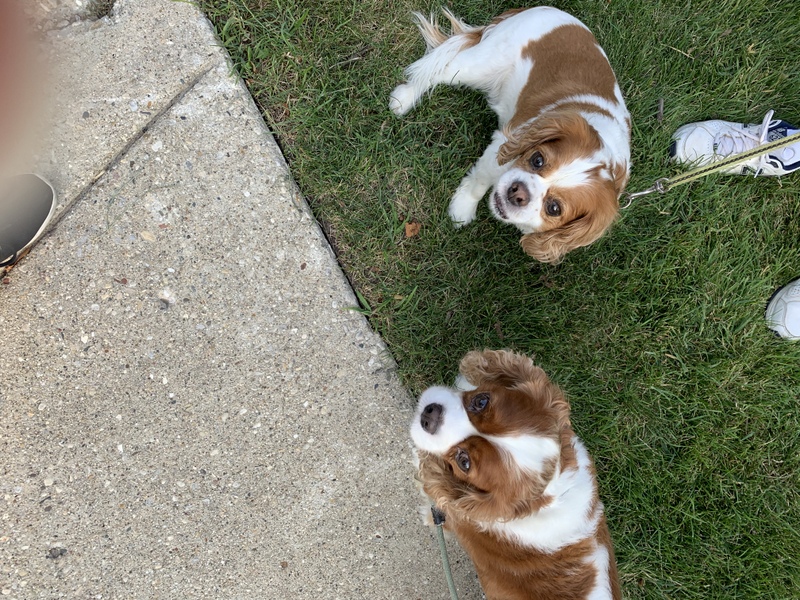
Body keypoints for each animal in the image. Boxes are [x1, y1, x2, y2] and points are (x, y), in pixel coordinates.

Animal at [390, 7, 631, 263]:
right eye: (537, 159)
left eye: (554, 208)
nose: (518, 192)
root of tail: (544, 9)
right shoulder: (505, 141)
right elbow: (479, 181)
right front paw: (462, 209)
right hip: (478, 65)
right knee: (439, 70)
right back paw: (404, 99)